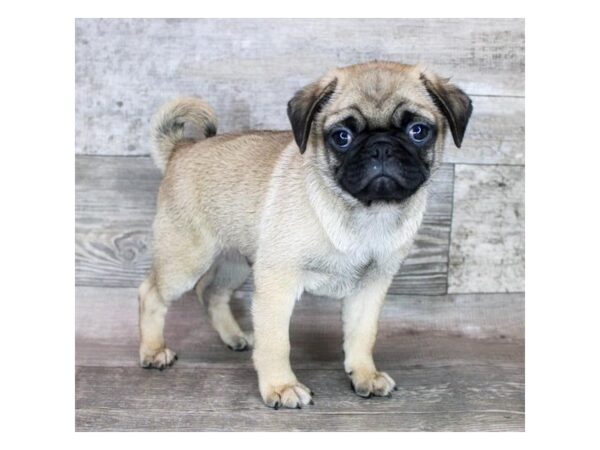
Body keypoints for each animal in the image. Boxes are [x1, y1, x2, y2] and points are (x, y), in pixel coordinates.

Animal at [138, 61, 472, 410]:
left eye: (418, 131)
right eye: (341, 137)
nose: (381, 146)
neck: (365, 212)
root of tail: (181, 149)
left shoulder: (371, 286)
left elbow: (362, 335)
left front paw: (364, 375)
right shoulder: (277, 282)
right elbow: (276, 342)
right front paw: (281, 387)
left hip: (237, 262)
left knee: (212, 292)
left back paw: (234, 337)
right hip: (185, 259)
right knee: (152, 293)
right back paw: (154, 351)